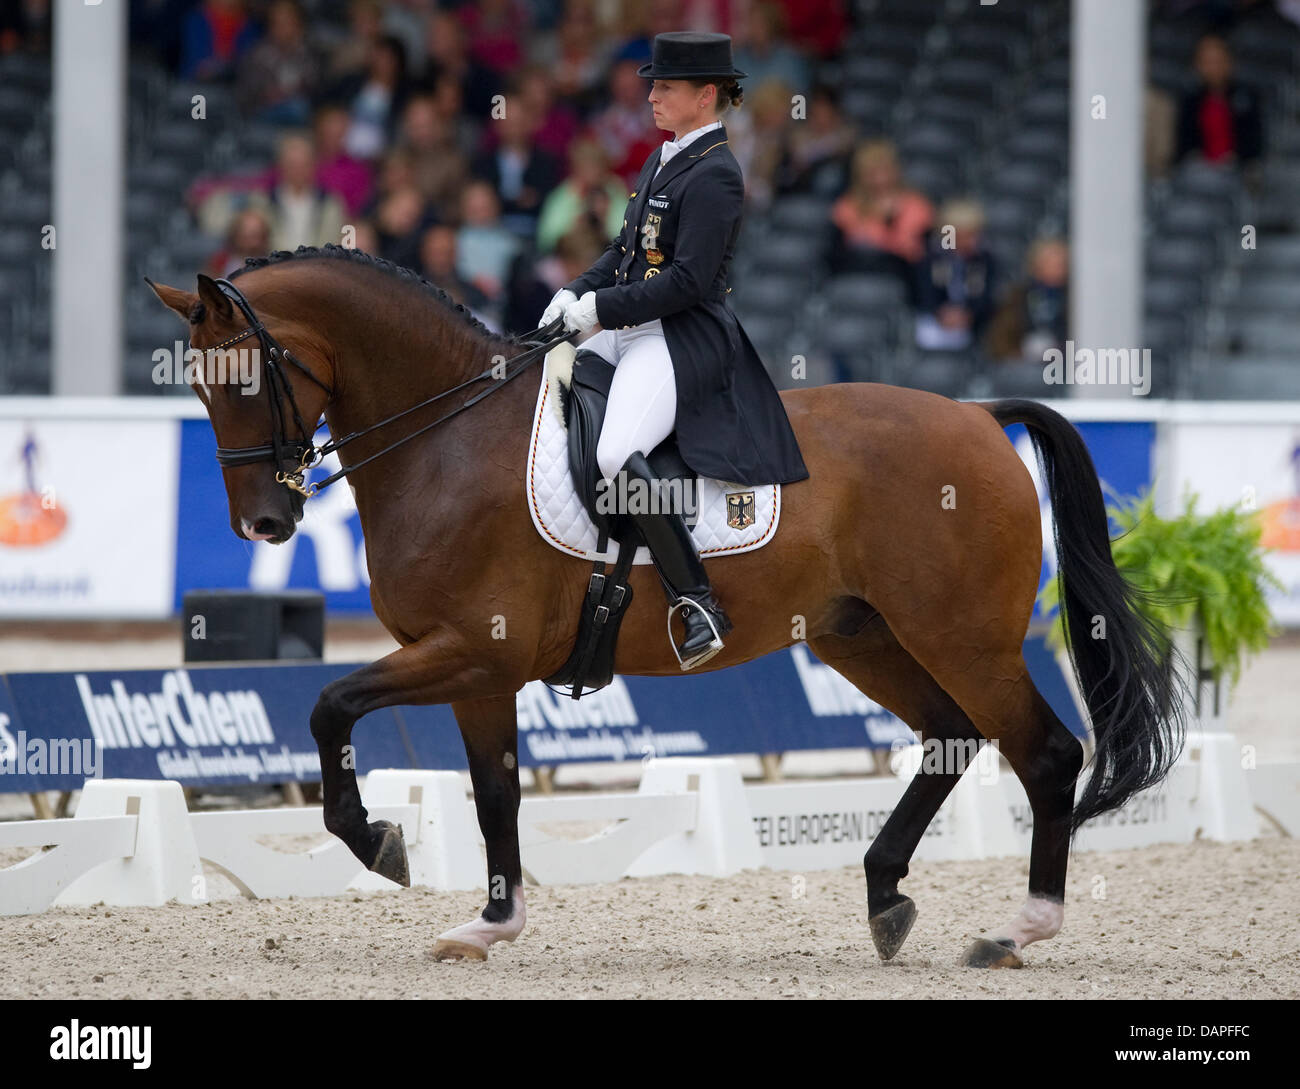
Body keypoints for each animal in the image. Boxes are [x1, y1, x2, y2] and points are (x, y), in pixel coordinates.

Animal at [149, 245, 1184, 968]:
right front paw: (490, 924)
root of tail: (976, 414)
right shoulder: (478, 671)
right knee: (951, 737)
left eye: (252, 377)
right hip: (864, 637)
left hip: (961, 637)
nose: (267, 521)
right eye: (196, 386)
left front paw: (379, 841)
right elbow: (494, 792)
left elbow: (330, 706)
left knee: (1045, 754)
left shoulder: (471, 650)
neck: (446, 439)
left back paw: (1017, 929)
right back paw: (886, 896)